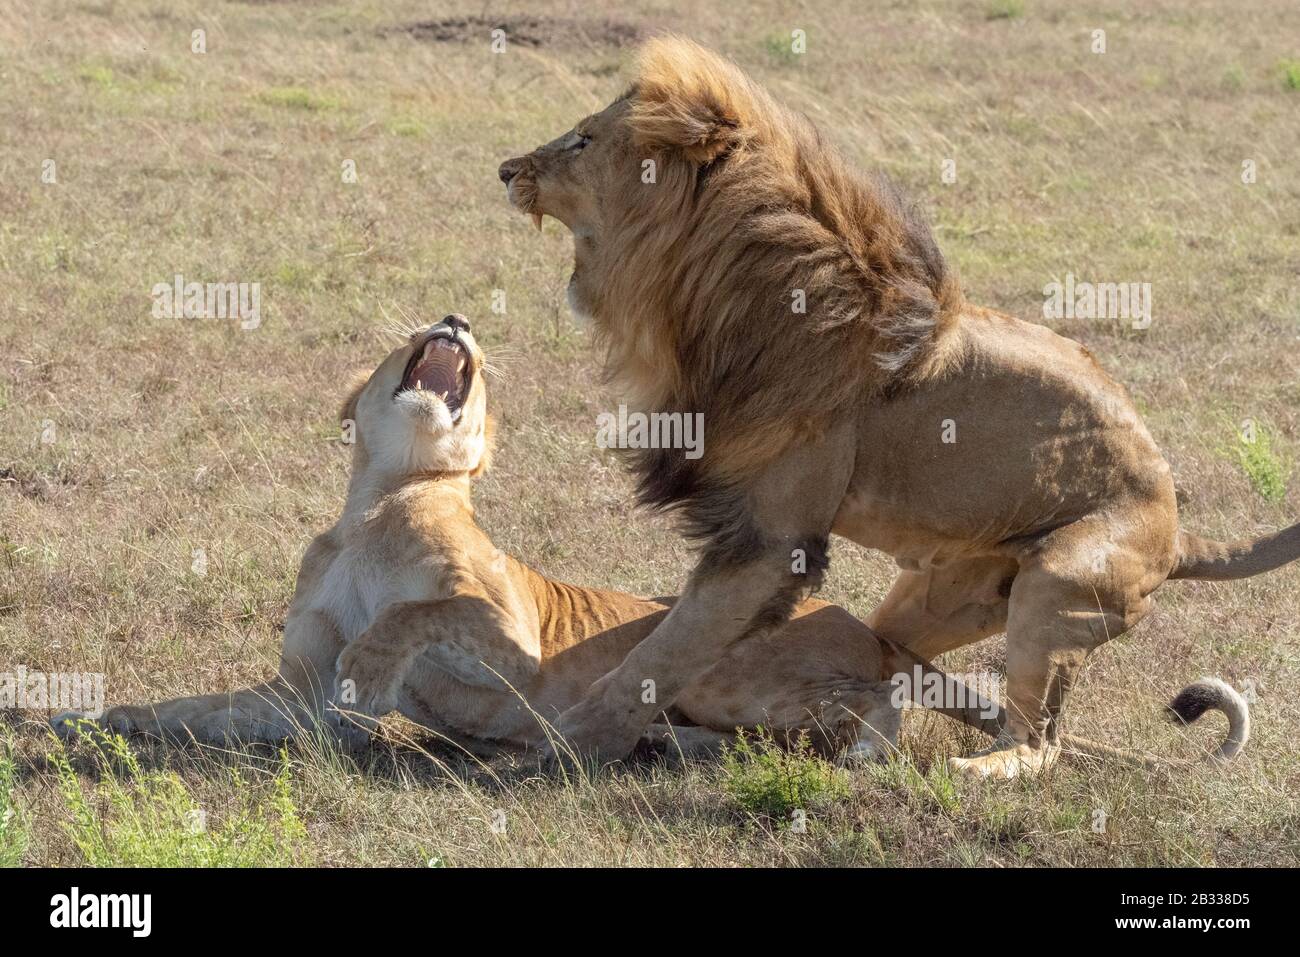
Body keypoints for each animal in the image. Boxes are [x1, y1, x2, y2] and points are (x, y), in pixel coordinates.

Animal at [493, 35, 1289, 780]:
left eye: (584, 139)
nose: (505, 169)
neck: (701, 292)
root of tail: (1179, 533)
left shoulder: (771, 538)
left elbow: (655, 657)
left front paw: (556, 748)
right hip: (932, 598)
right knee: (901, 664)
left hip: (1057, 590)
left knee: (1040, 741)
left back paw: (965, 769)